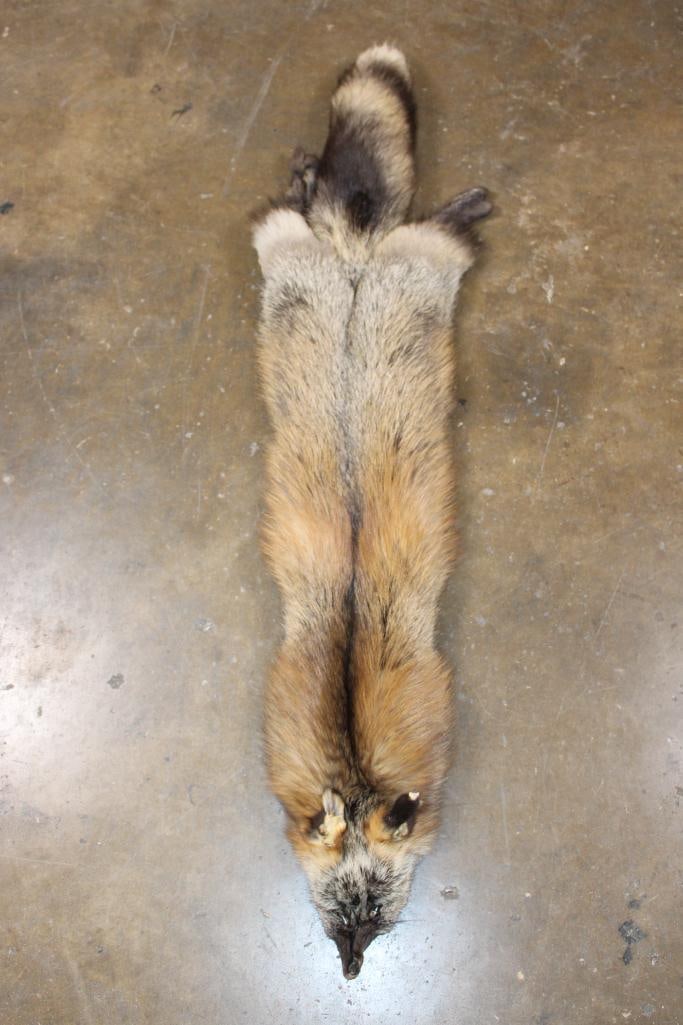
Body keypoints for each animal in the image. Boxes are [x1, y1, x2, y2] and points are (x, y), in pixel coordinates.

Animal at [253, 44, 491, 979]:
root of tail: (355, 259)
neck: (353, 765)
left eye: (378, 915)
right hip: (307, 264)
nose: (350, 970)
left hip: (409, 266)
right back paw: (309, 179)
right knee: (316, 212)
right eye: (337, 913)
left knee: (400, 223)